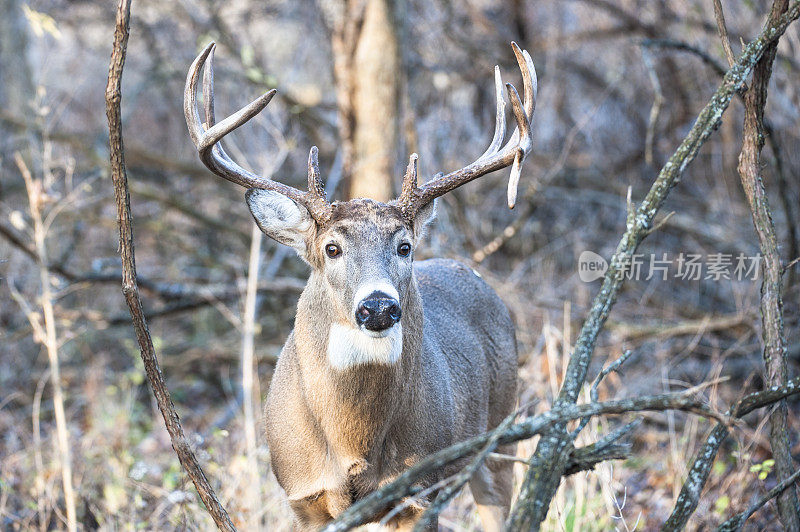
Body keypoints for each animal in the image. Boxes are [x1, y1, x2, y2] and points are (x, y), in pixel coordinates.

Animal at [186, 39, 536, 528]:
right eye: (332, 248)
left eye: (404, 246)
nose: (378, 306)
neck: (352, 442)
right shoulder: (304, 497)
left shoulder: (418, 492)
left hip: (502, 430)